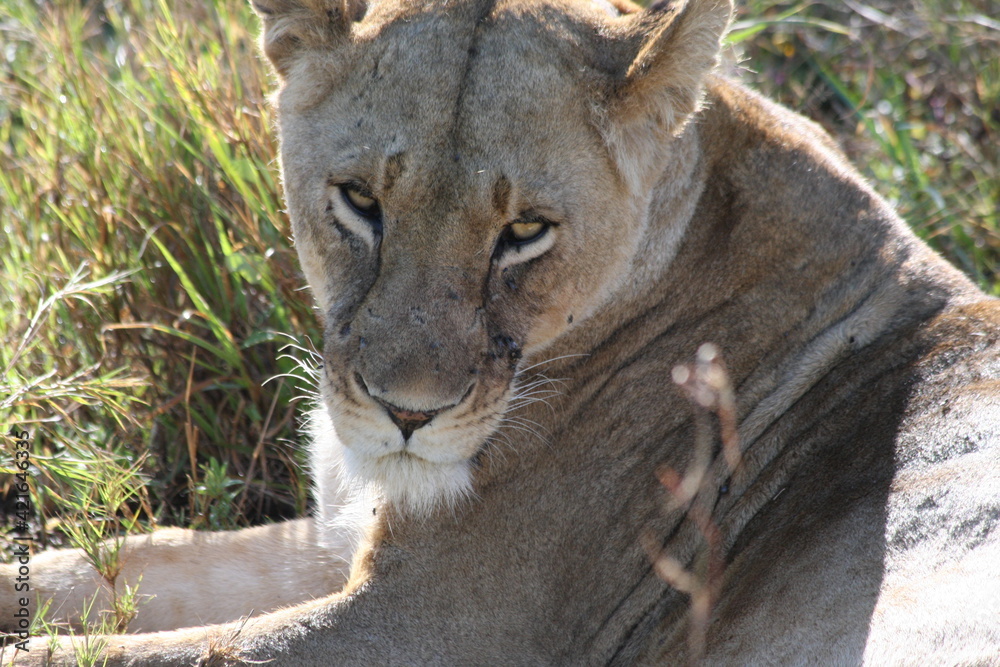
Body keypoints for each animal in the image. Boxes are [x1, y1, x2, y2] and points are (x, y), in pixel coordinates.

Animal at [3, 0, 999, 664]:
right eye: (359, 199)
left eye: (525, 231)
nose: (407, 415)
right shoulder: (336, 540)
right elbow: (124, 565)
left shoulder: (423, 626)